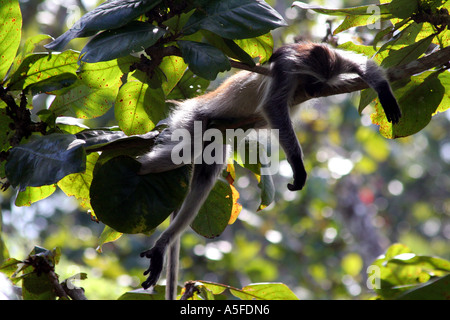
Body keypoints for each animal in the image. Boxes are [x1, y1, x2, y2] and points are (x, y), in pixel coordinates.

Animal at [137, 41, 400, 298]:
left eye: (321, 84)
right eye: (313, 81)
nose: (316, 91)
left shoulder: (333, 60)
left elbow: (361, 63)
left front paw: (385, 93)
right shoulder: (286, 70)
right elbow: (273, 107)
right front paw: (298, 167)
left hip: (215, 138)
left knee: (203, 178)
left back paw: (162, 245)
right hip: (192, 120)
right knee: (179, 154)